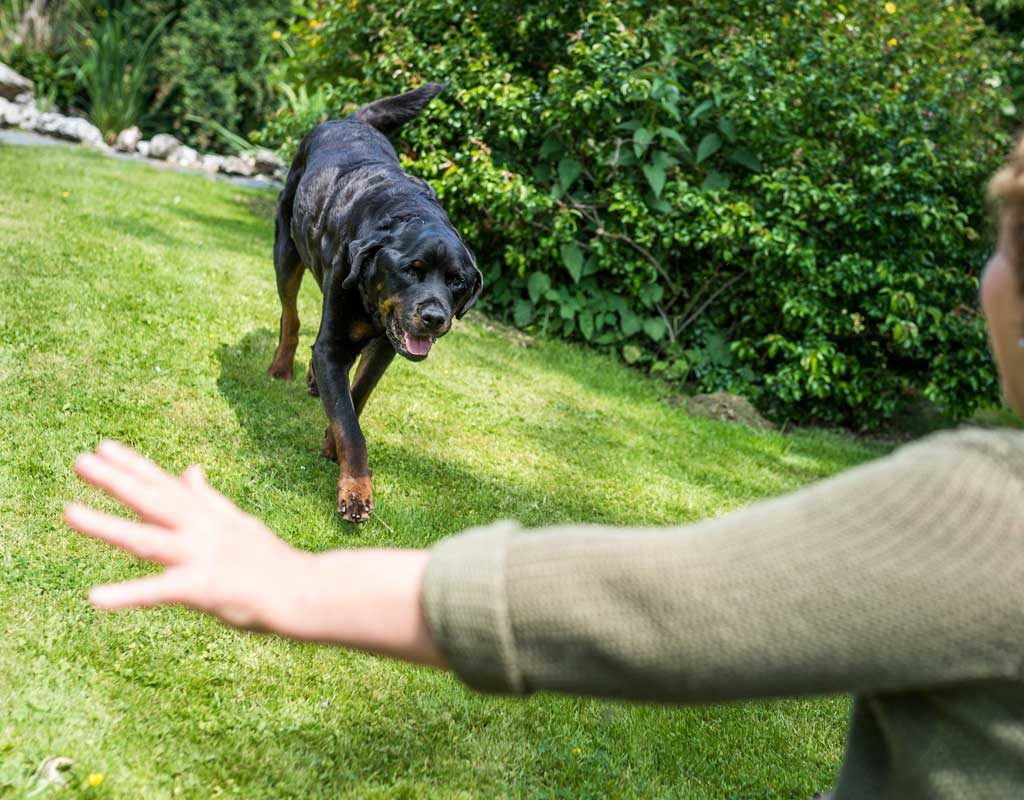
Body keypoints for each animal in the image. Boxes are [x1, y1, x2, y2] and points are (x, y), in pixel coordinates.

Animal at [268, 86, 483, 524]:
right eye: (411, 270)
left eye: (456, 281)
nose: (434, 317)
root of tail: (351, 119)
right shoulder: (334, 341)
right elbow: (349, 422)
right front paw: (355, 490)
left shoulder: (386, 345)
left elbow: (357, 395)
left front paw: (331, 442)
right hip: (286, 249)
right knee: (291, 316)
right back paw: (282, 367)